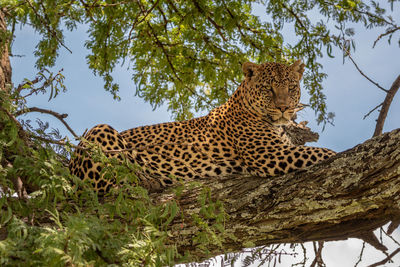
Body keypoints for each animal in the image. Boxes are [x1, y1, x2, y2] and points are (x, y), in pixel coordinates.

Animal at [69, 60, 338, 195]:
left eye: (291, 87)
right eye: (268, 88)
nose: (284, 108)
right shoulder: (271, 155)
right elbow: (323, 153)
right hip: (99, 130)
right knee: (104, 185)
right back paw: (148, 178)